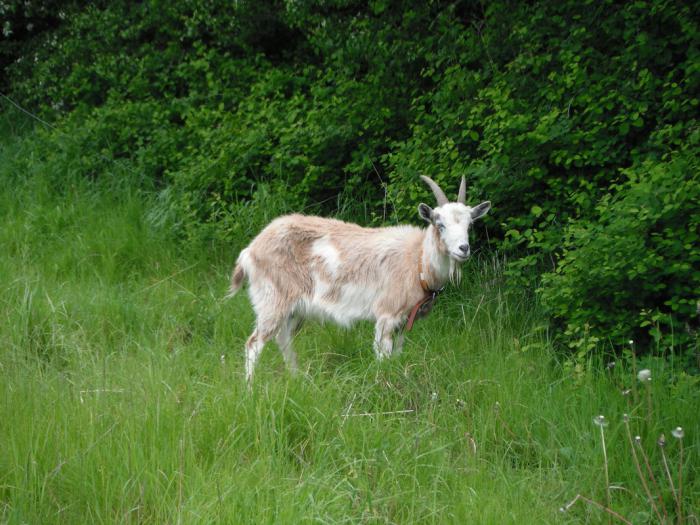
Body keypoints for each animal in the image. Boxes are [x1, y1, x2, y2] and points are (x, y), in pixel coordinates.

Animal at [227, 174, 490, 382]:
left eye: (470, 224)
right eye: (439, 223)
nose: (463, 249)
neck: (417, 261)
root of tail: (251, 250)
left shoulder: (405, 321)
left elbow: (398, 355)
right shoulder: (386, 315)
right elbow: (383, 357)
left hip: (294, 309)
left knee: (283, 339)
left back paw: (296, 379)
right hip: (272, 299)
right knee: (254, 344)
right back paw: (250, 390)